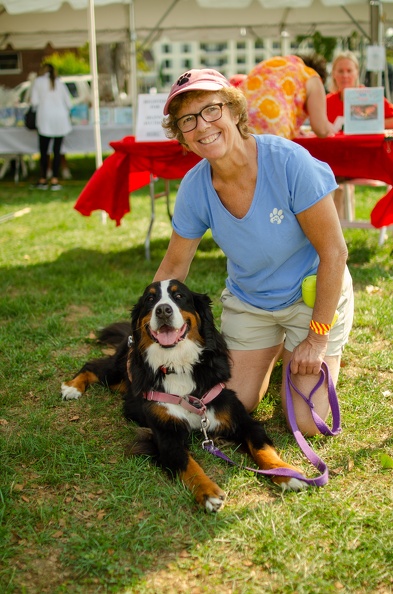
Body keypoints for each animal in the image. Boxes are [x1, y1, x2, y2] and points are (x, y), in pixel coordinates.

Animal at [62, 280, 306, 512]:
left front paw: (287, 473)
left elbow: (262, 448)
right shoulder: (166, 436)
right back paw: (72, 387)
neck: (176, 365)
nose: (163, 310)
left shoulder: (243, 420)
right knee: (92, 366)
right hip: (116, 374)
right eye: (150, 299)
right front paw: (208, 493)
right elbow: (190, 466)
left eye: (179, 296)